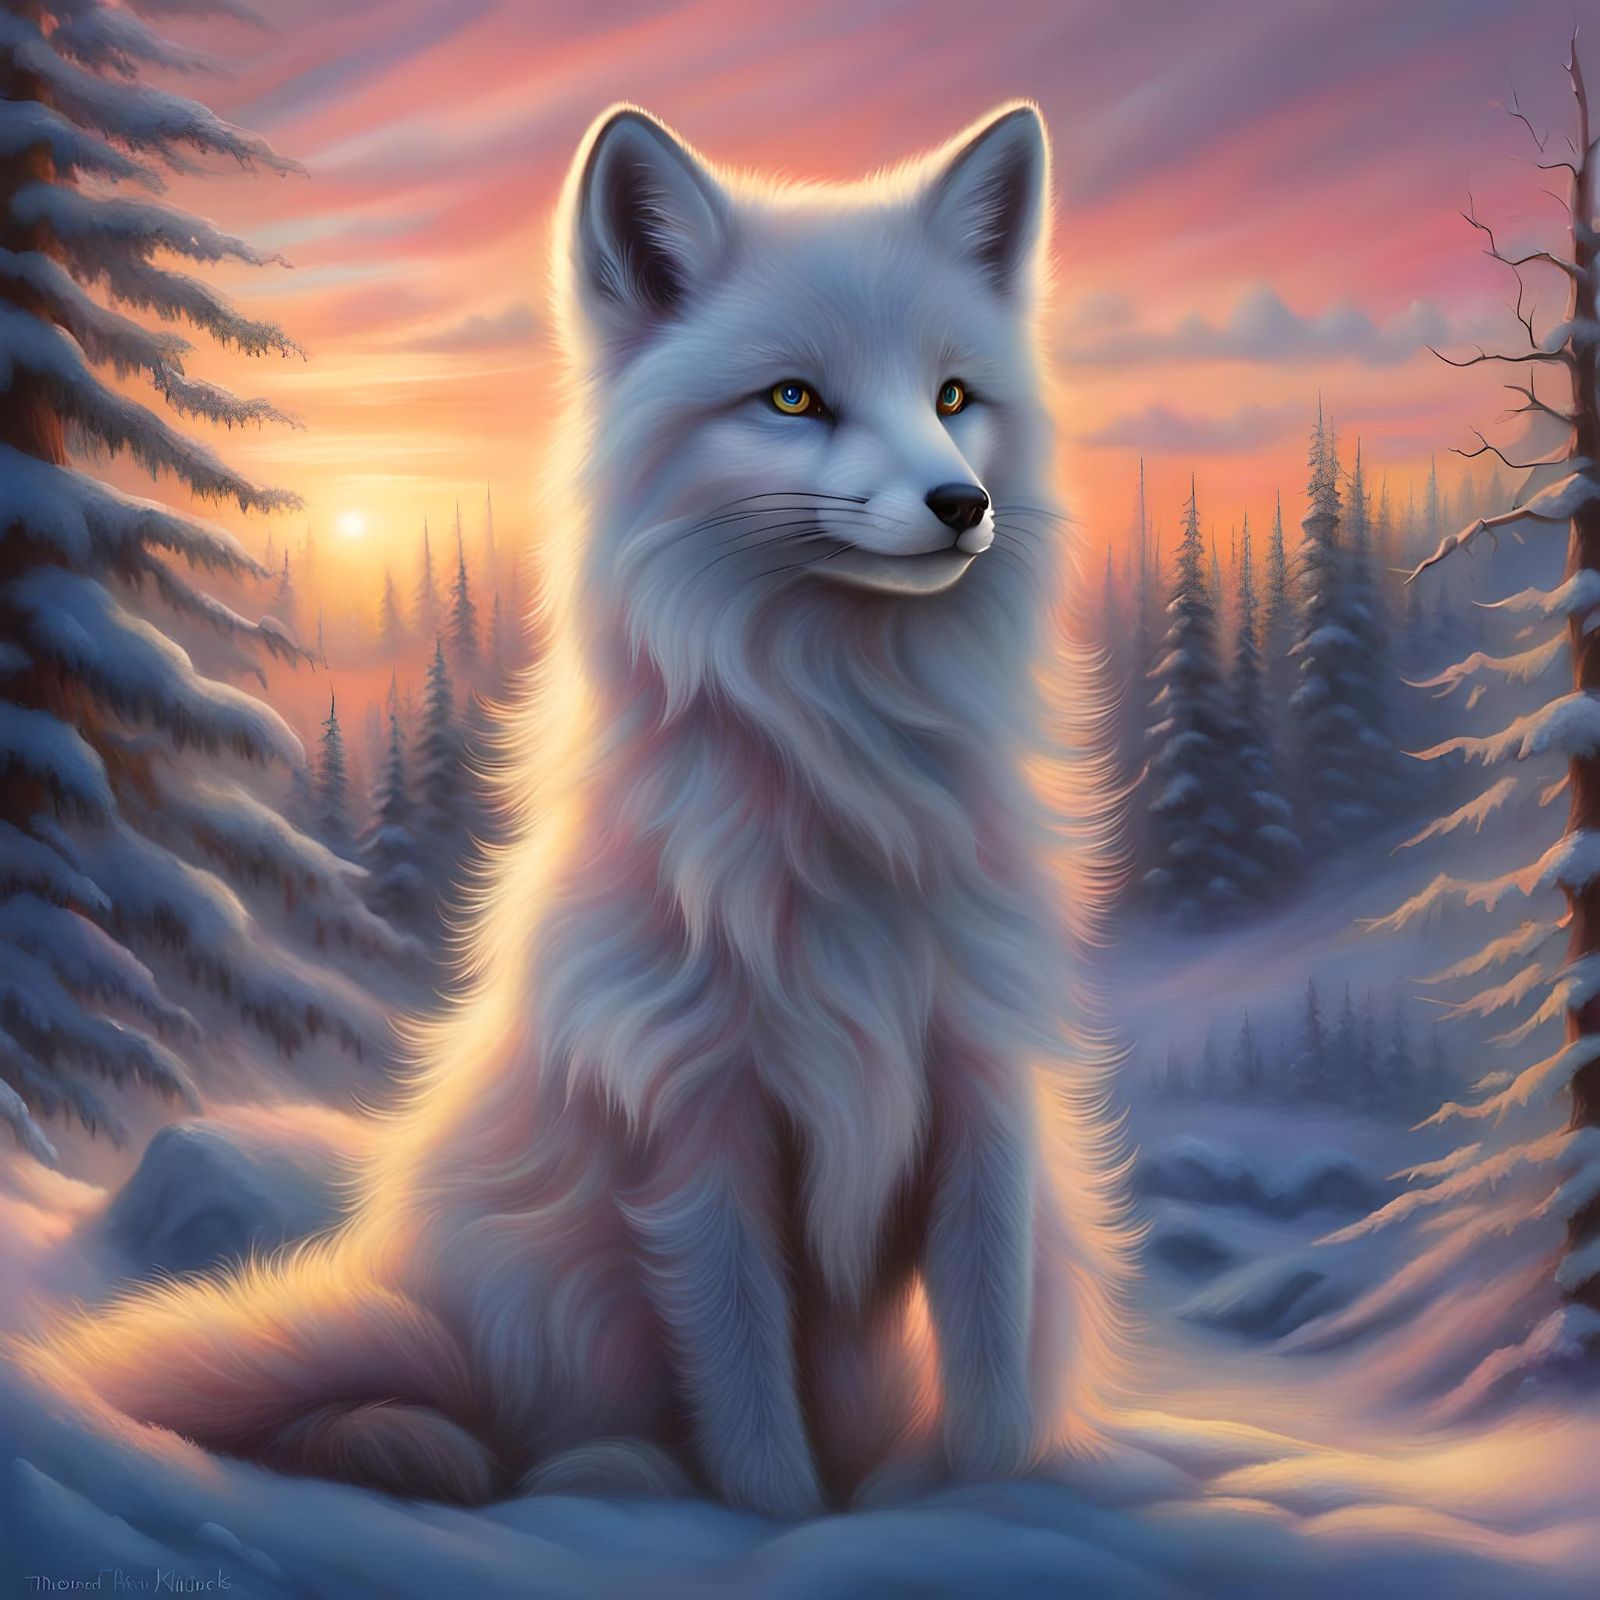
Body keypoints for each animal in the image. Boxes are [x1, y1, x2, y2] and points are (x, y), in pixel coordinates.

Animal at [21, 101, 1131, 1518]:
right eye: (793, 398)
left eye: (951, 398)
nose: (961, 505)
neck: (847, 762)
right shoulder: (692, 1122)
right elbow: (751, 1411)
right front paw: (783, 1526)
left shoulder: (979, 1083)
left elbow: (987, 1370)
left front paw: (975, 1507)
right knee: (522, 1437)